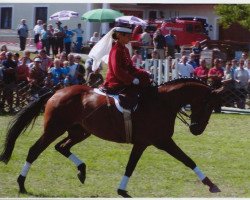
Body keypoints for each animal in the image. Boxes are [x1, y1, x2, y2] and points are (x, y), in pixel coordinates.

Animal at [0, 78, 223, 197]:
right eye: (208, 105)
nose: (197, 130)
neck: (162, 102)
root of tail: (56, 91)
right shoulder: (161, 141)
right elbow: (187, 160)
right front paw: (211, 185)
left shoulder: (144, 143)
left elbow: (131, 166)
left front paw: (122, 190)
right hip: (54, 129)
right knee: (34, 151)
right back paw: (21, 184)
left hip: (80, 131)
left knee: (62, 147)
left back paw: (81, 170)